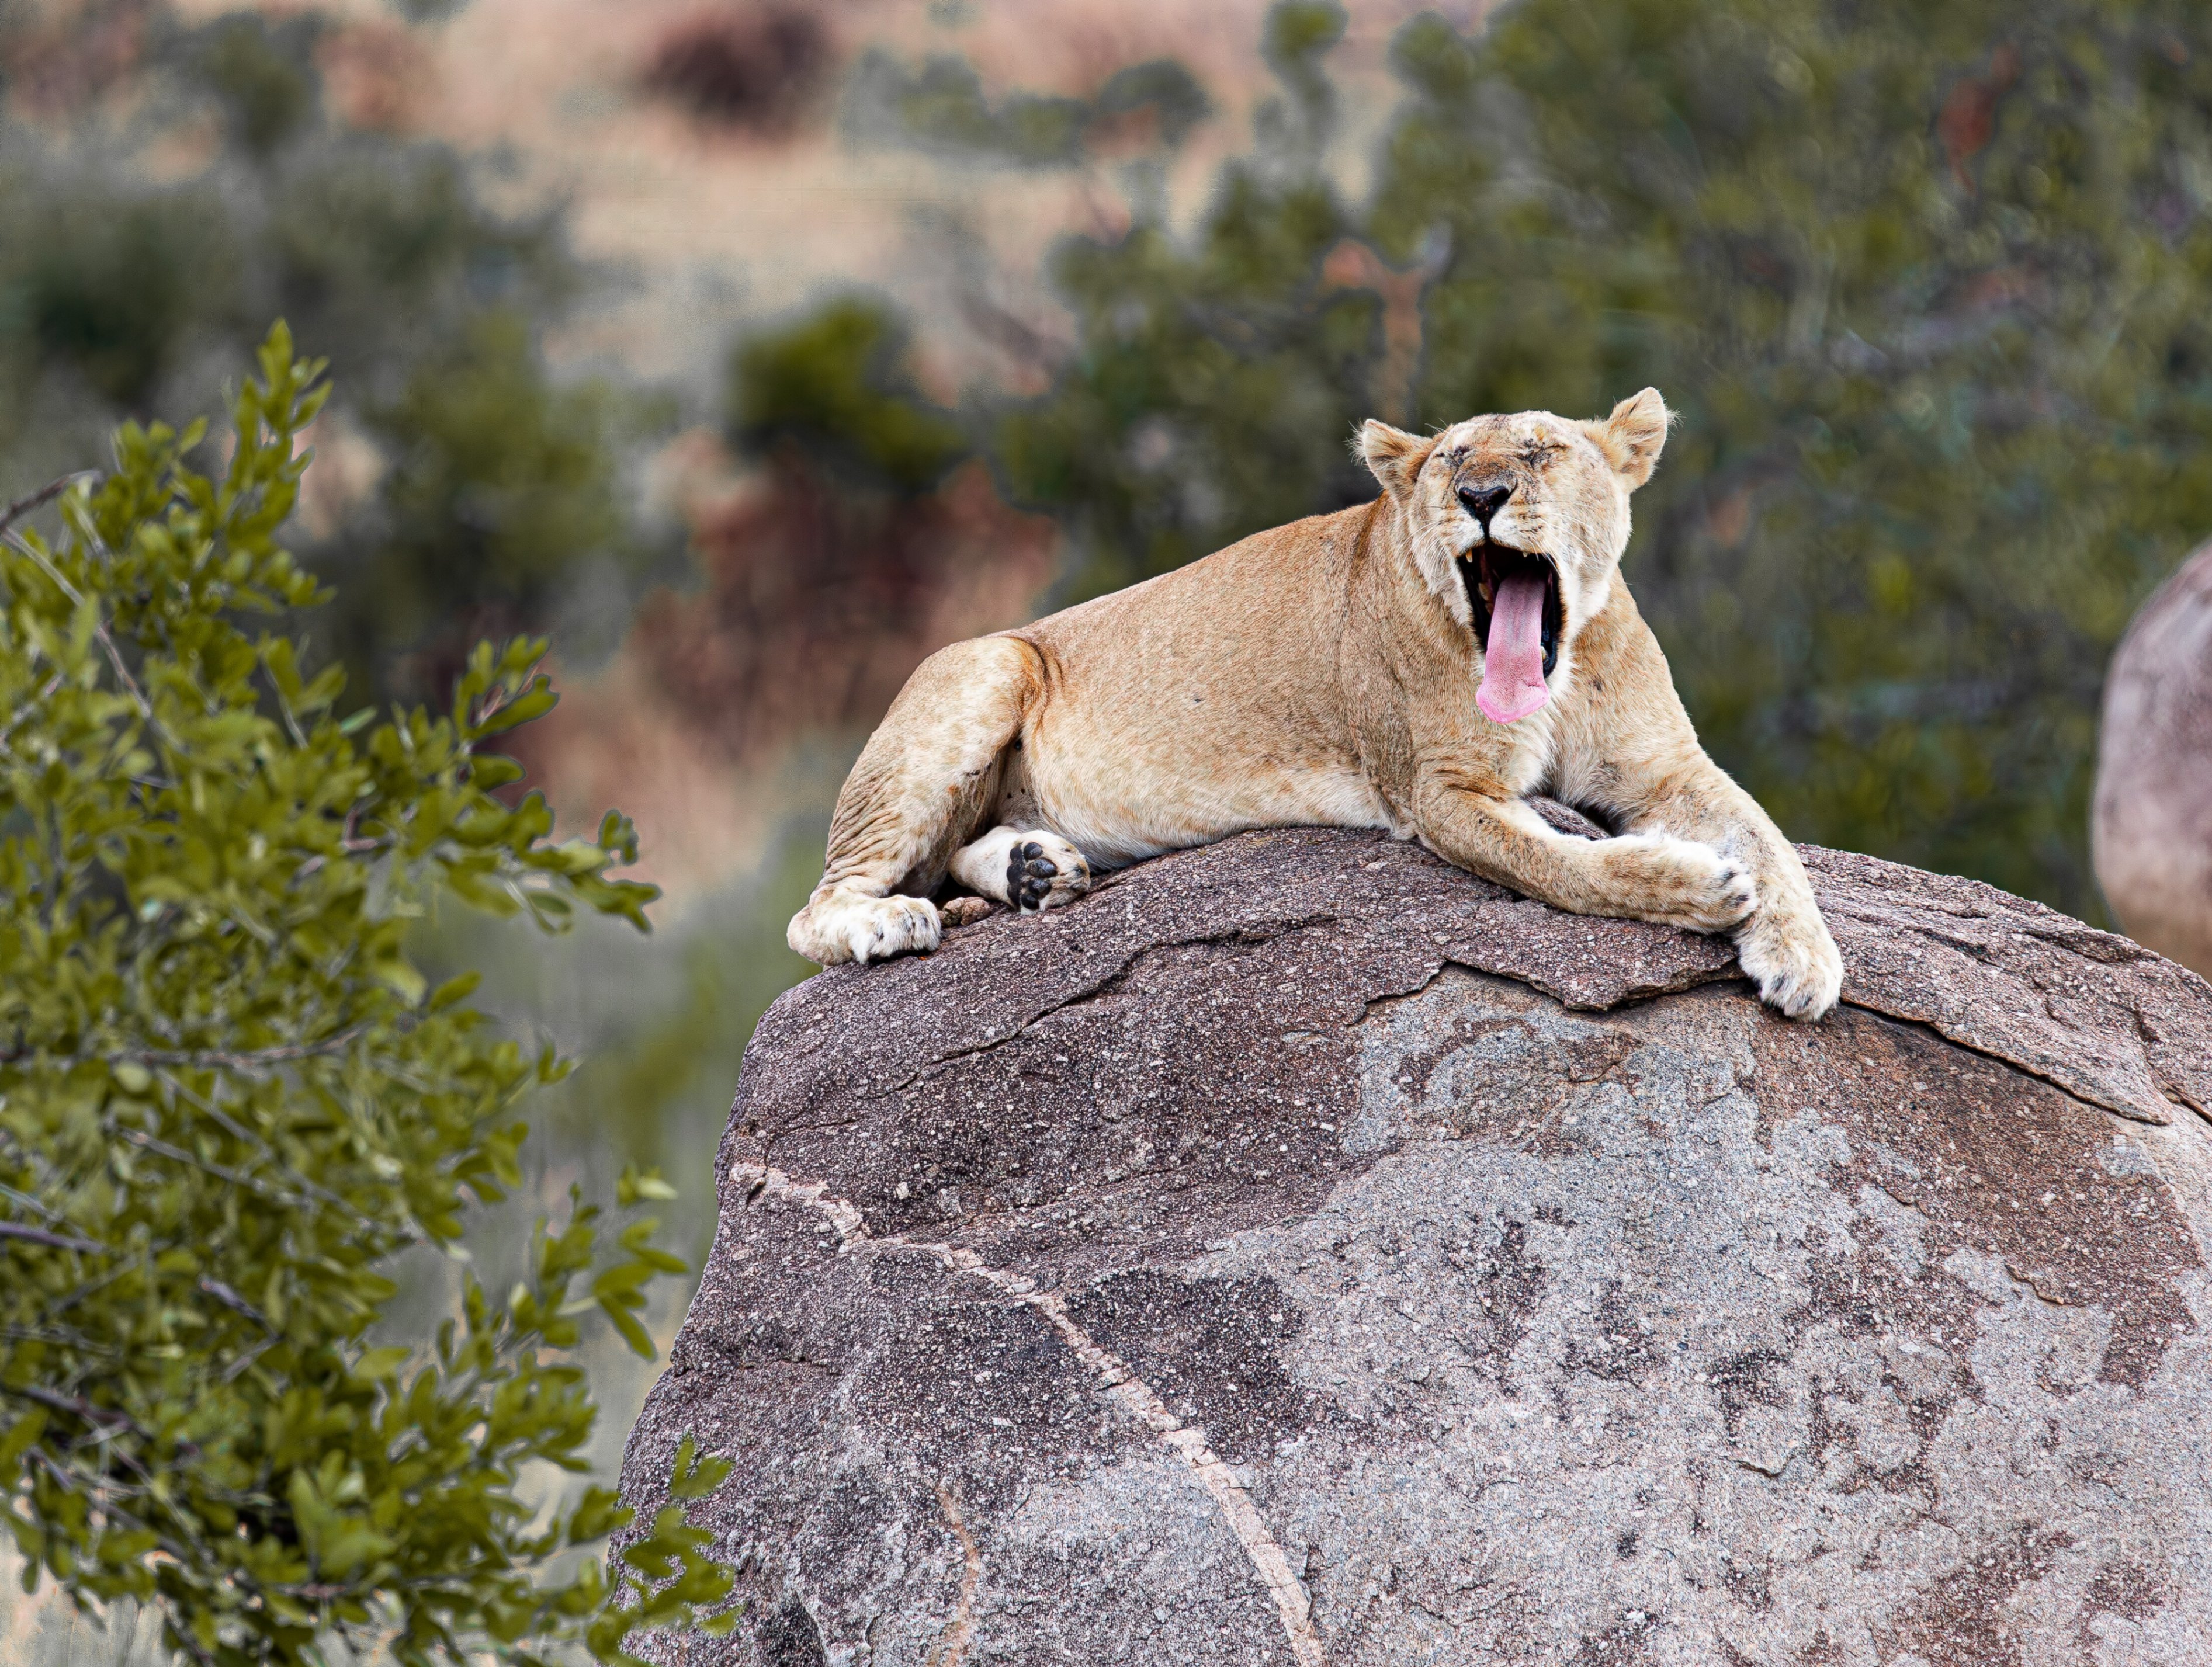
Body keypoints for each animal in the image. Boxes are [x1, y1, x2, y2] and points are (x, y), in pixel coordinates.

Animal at [786, 390, 1843, 1021]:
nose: (1483, 493)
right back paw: (894, 922)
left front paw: (1802, 958)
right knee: (826, 905)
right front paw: (1697, 887)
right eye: (1450, 458)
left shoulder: (1667, 766)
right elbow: (1563, 866)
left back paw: (1034, 871)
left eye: (1541, 451)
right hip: (991, 663)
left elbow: (1768, 838)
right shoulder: (1438, 793)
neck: (1559, 661)